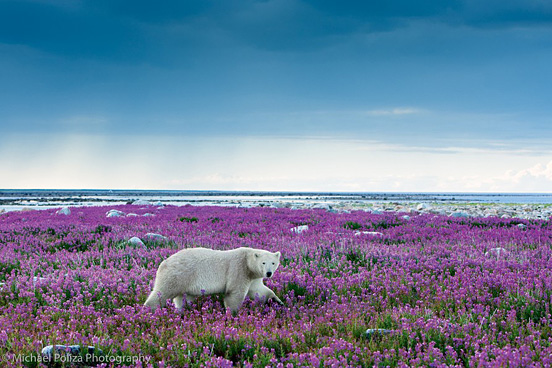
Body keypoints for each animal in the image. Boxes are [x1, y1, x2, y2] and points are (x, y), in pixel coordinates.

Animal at [143, 249, 280, 312]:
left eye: (273, 263)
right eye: (263, 262)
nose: (268, 273)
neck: (248, 264)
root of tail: (163, 263)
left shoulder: (253, 278)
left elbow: (260, 291)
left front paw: (276, 301)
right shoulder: (238, 270)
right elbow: (234, 294)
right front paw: (233, 314)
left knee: (182, 299)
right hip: (177, 275)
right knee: (162, 292)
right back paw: (149, 310)